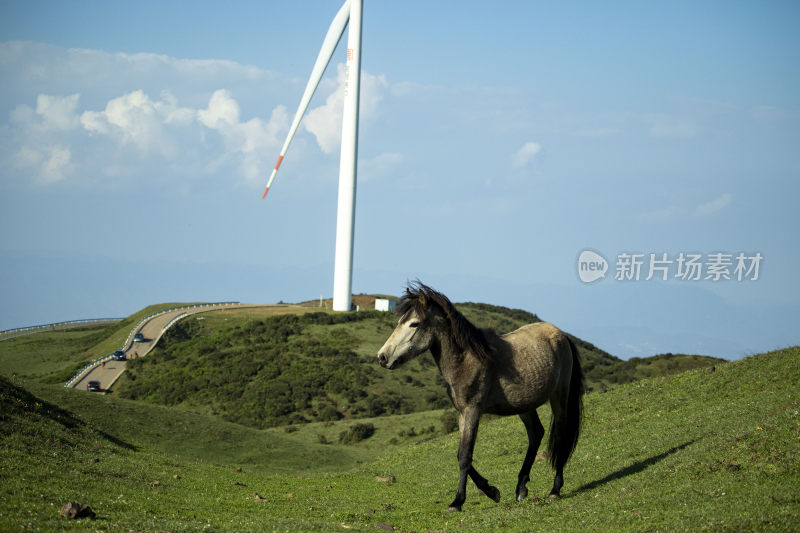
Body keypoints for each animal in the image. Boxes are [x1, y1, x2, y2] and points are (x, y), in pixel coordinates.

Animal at [378, 282, 584, 512]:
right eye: (399, 322)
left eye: (414, 324)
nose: (382, 357)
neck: (467, 360)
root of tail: (562, 335)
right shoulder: (462, 414)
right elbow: (461, 454)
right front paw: (491, 491)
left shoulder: (473, 411)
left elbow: (465, 456)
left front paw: (458, 501)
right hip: (524, 405)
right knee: (536, 434)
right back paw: (521, 488)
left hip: (560, 397)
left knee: (561, 436)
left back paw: (554, 490)